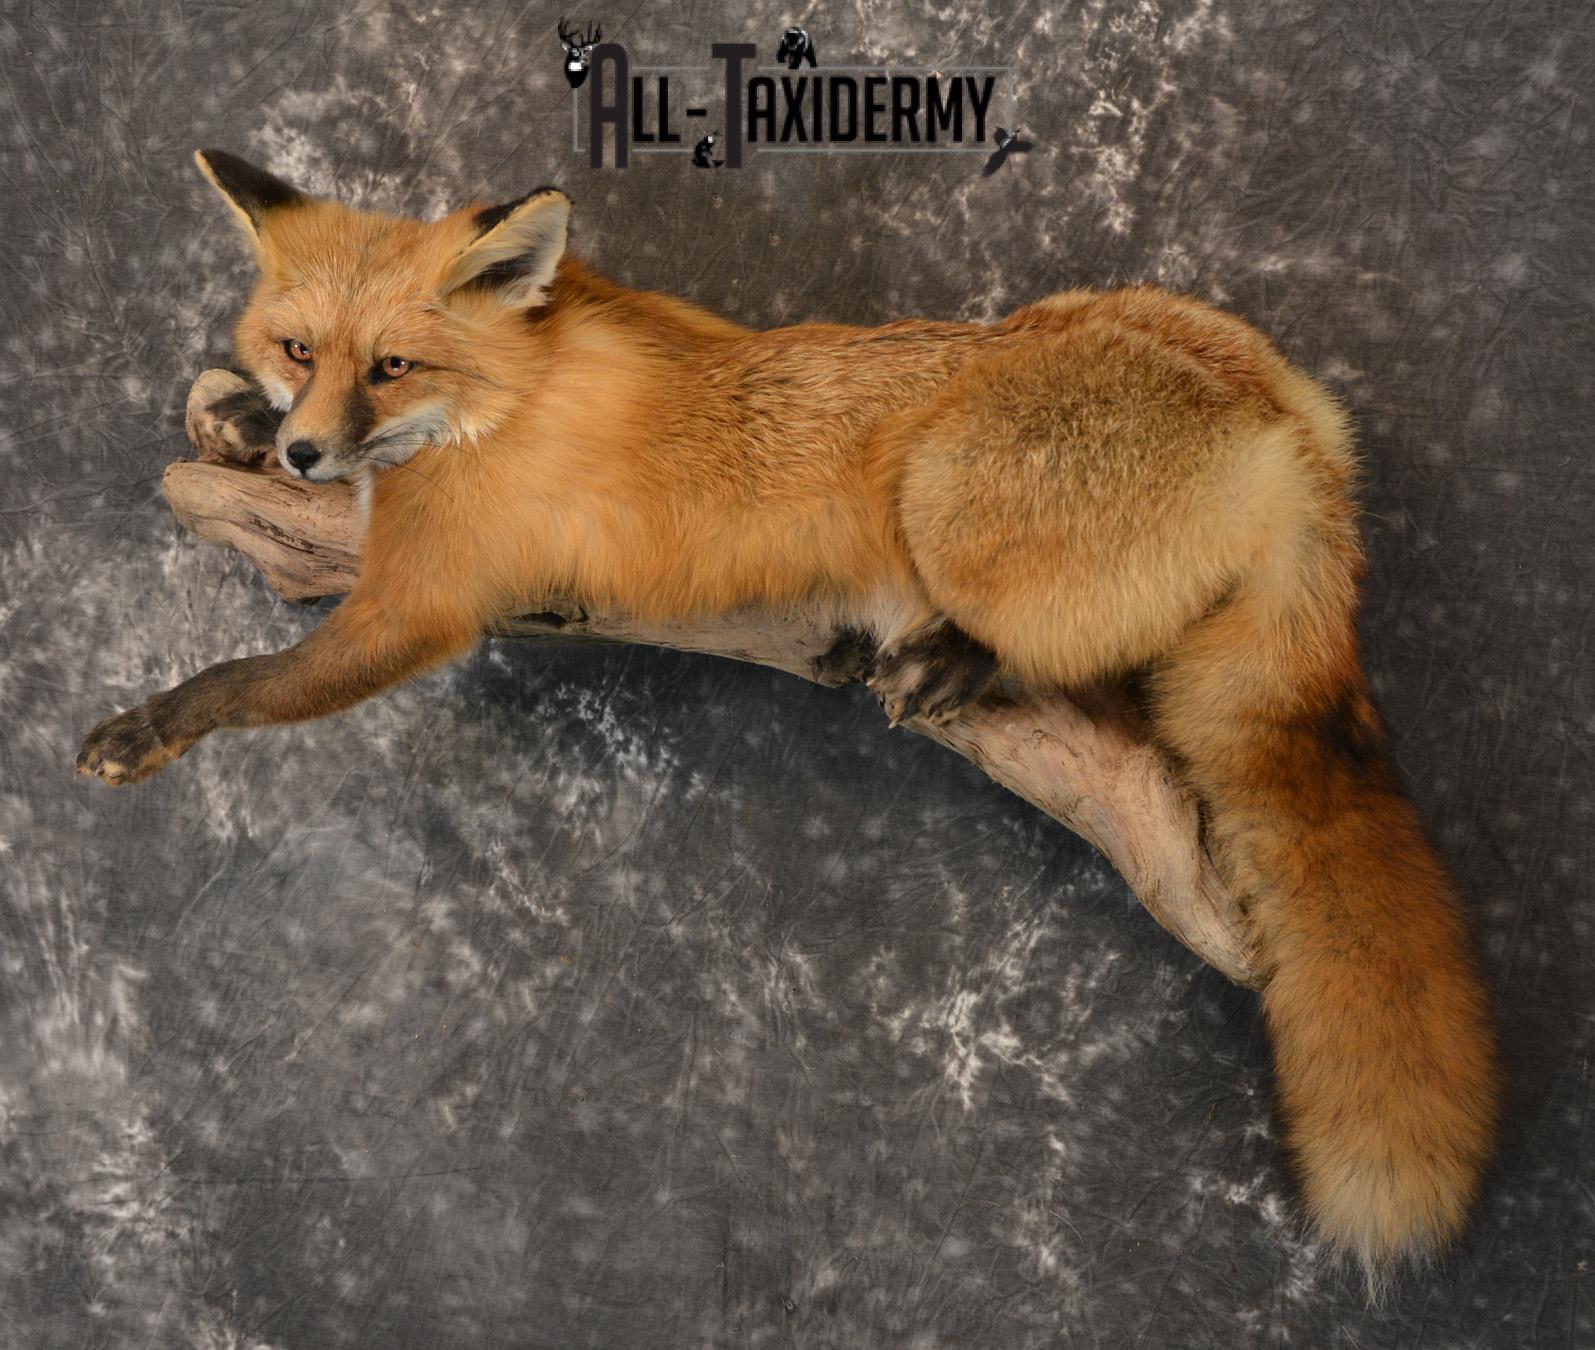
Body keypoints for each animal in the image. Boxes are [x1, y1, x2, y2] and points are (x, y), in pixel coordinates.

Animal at [79, 149, 1498, 1285]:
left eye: (392, 364)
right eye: (299, 351)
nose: (309, 454)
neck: (497, 398)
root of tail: (1287, 434)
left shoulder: (420, 606)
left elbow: (254, 681)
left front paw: (147, 727)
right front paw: (237, 420)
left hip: (947, 489)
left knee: (1064, 641)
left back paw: (955, 658)